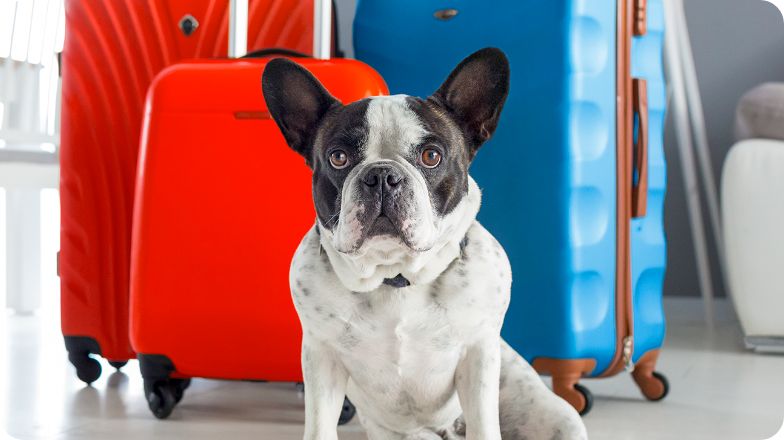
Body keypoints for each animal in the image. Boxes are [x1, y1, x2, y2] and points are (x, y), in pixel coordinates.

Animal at [264, 48, 588, 440]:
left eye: (431, 156)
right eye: (338, 158)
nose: (382, 175)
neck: (395, 275)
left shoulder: (479, 356)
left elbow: (484, 424)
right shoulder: (322, 358)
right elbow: (319, 426)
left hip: (556, 416)